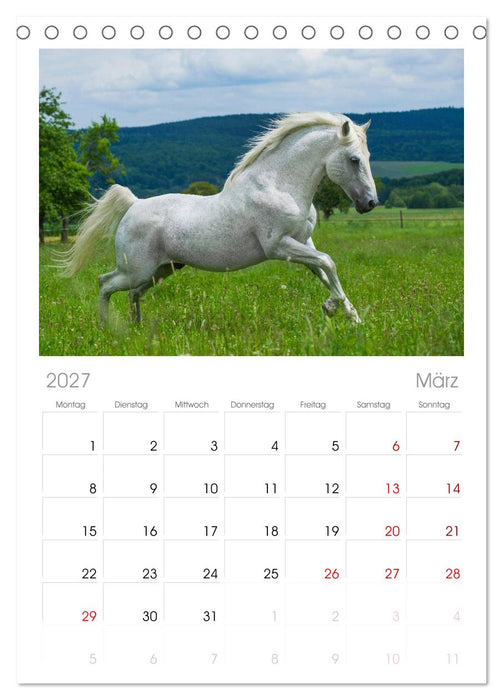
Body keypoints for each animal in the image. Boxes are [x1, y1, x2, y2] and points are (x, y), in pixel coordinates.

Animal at [58, 112, 378, 326]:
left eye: (368, 156)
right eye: (353, 159)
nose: (370, 203)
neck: (279, 184)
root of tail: (134, 205)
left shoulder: (303, 241)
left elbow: (325, 271)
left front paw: (350, 316)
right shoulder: (279, 246)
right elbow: (328, 262)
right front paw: (335, 309)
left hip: (161, 270)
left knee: (133, 294)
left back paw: (136, 330)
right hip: (136, 269)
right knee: (104, 283)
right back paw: (107, 330)